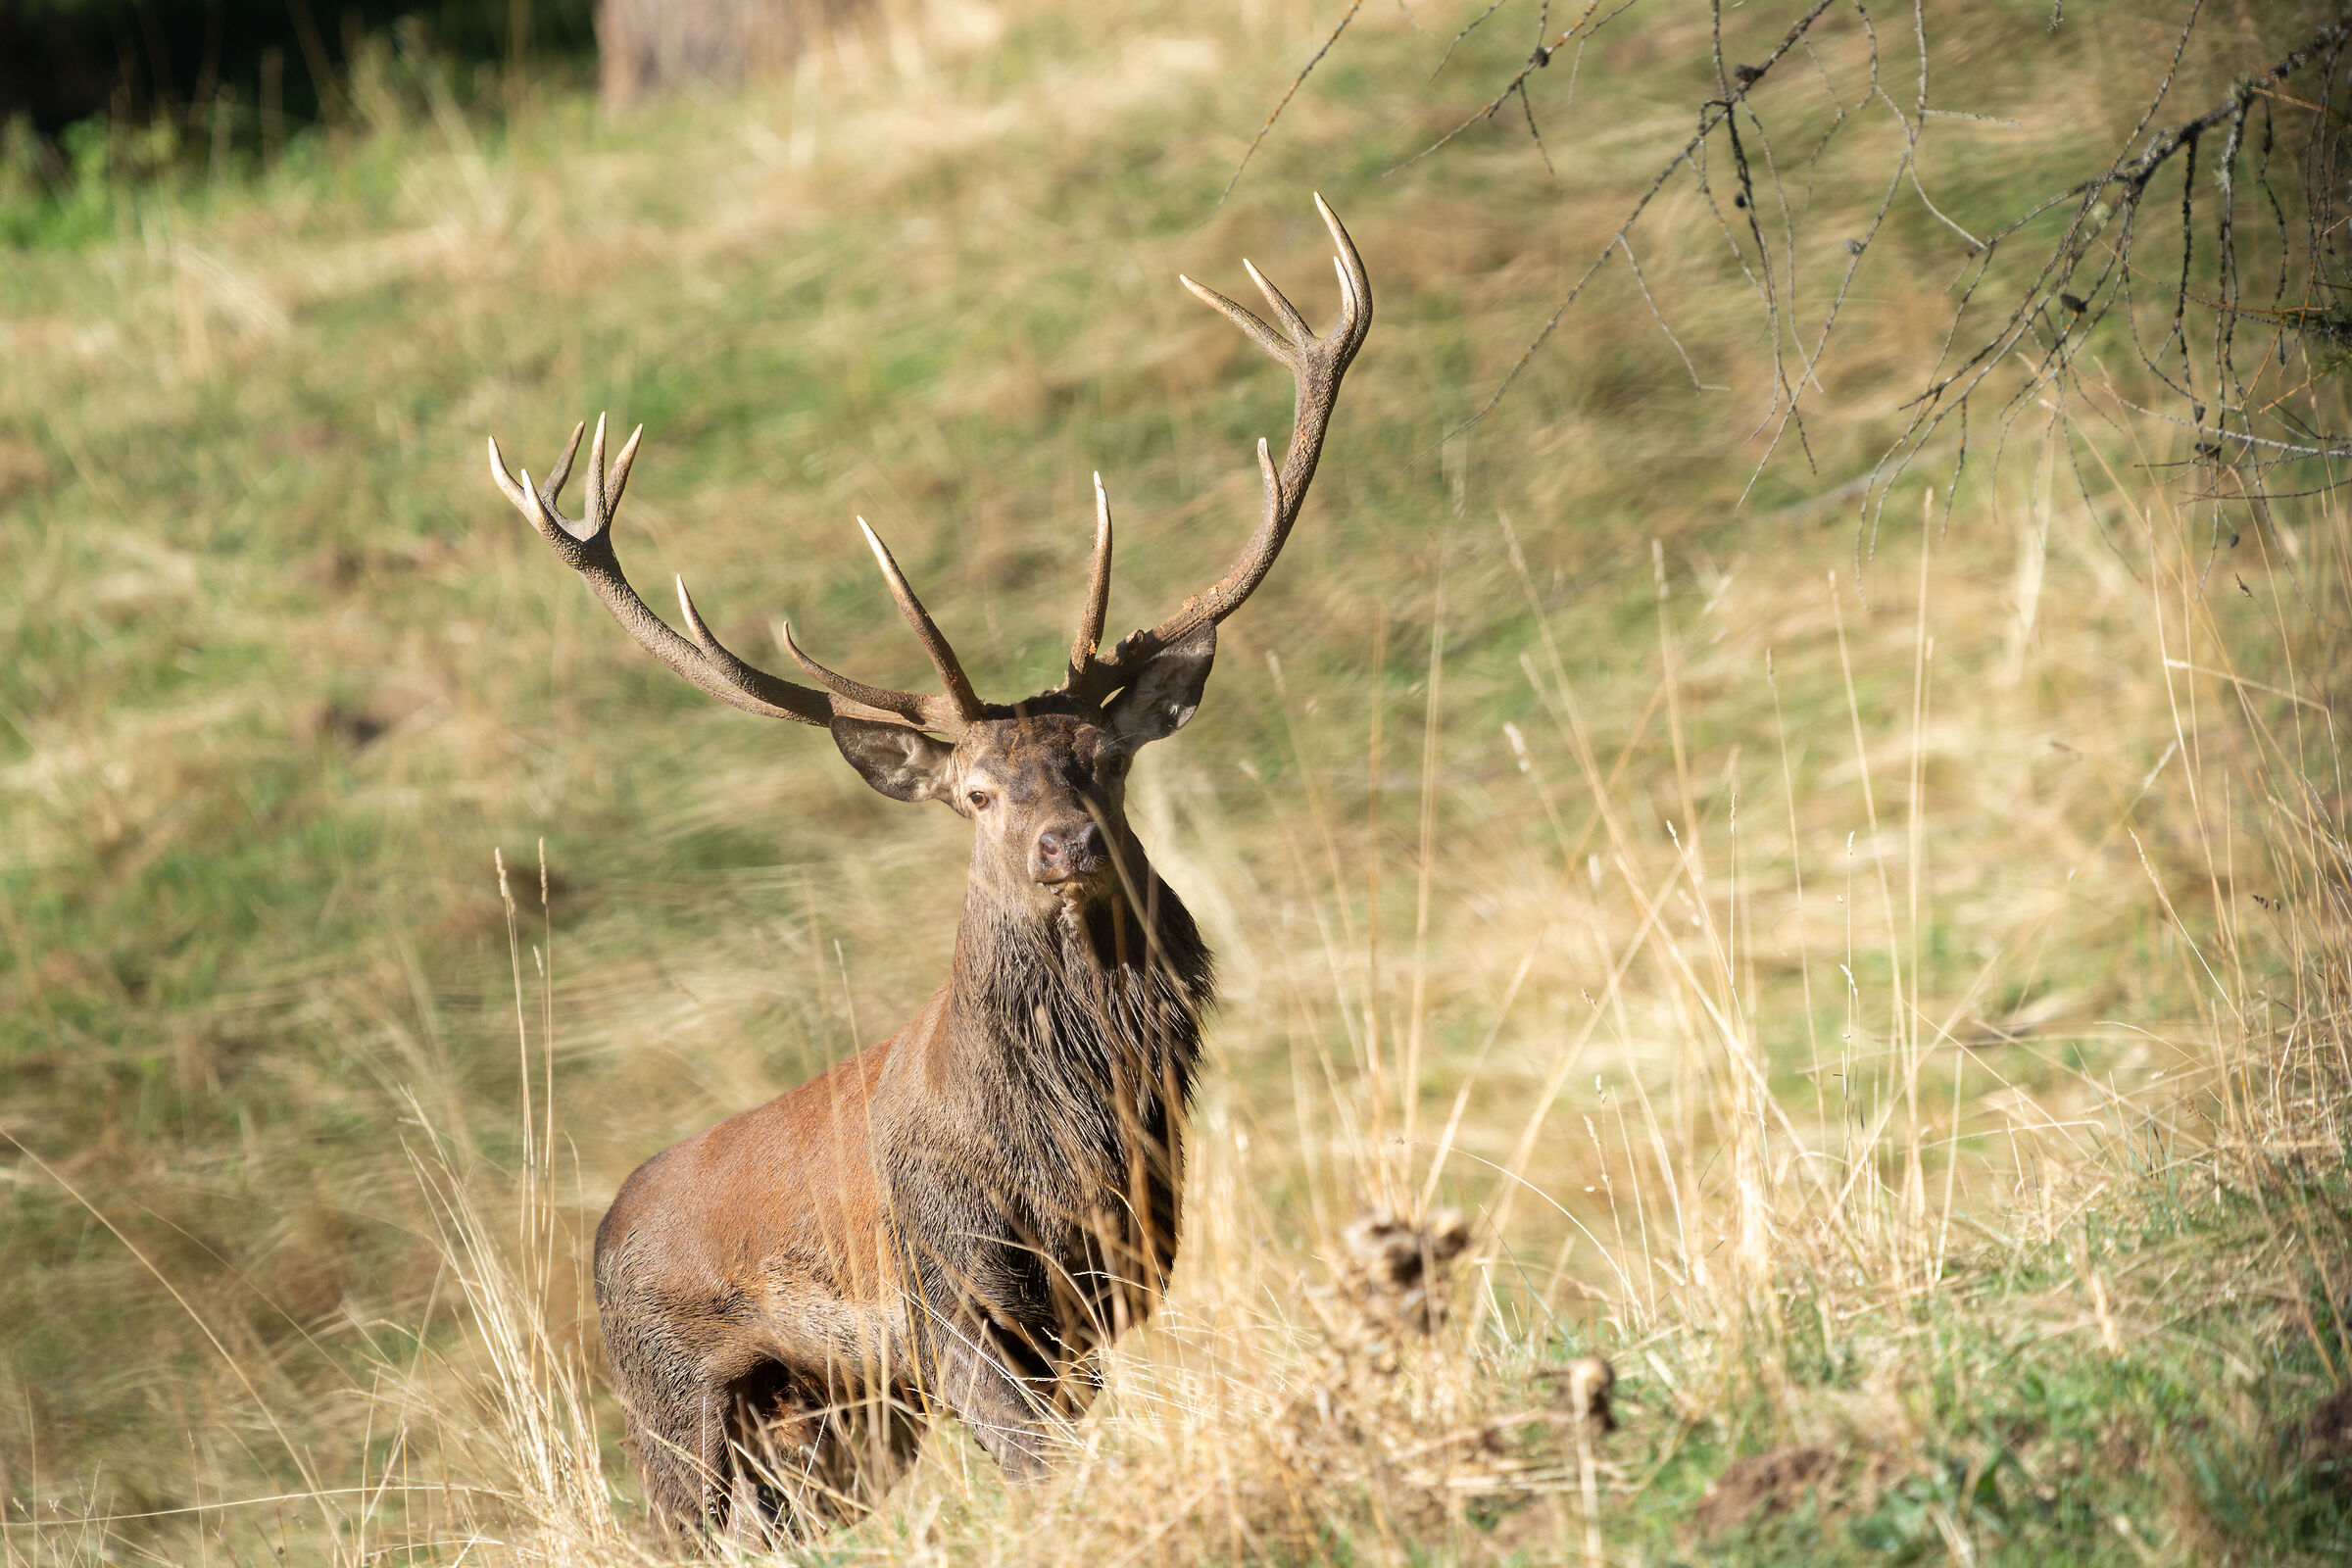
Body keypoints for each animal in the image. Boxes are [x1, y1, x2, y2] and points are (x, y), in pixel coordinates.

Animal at [486, 197, 1369, 1545]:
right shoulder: (954, 1298)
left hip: (829, 1425)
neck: (1067, 1135)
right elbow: (1039, 1469)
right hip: (672, 1408)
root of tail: (599, 1234)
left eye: (1102, 757)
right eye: (977, 793)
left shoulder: (1109, 1291)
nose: (1067, 844)